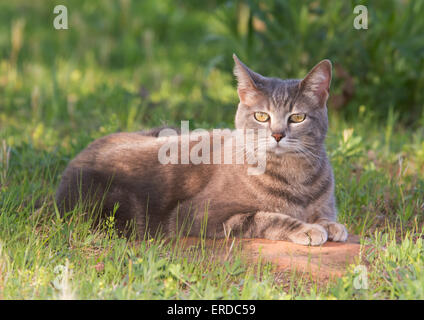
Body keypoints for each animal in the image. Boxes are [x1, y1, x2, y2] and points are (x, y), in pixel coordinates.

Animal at [55, 54, 348, 245]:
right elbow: (267, 217)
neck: (295, 175)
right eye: (261, 116)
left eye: (297, 117)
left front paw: (330, 225)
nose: (277, 135)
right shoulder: (198, 214)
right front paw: (308, 229)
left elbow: (323, 213)